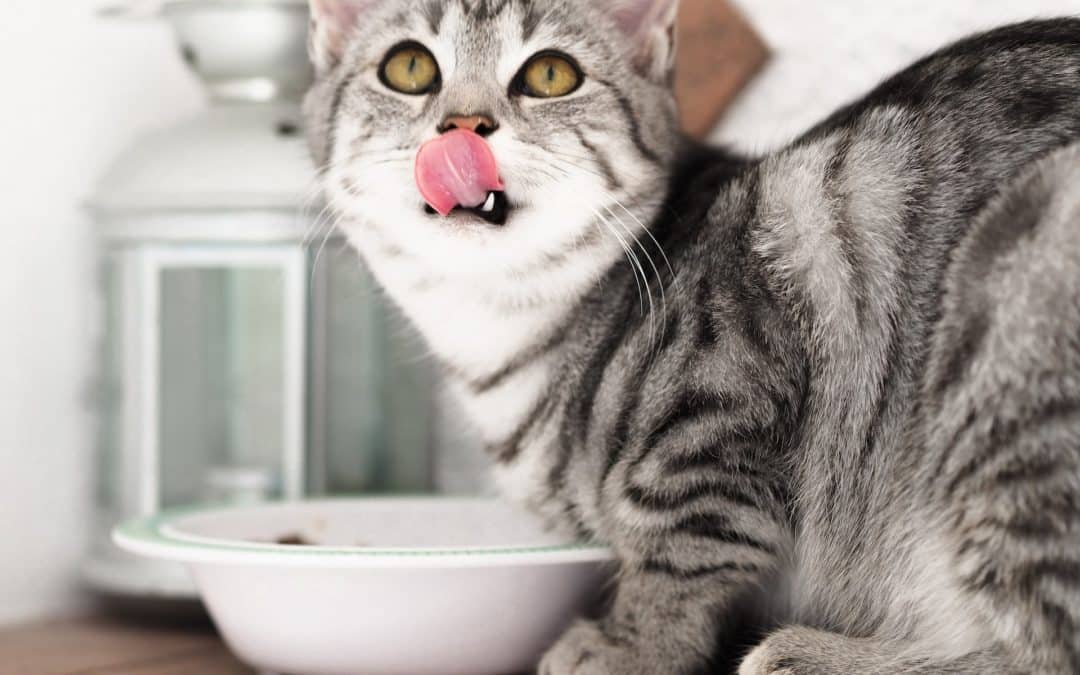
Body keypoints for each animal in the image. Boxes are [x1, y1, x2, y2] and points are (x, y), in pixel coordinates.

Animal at [302, 0, 1080, 669]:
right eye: (409, 67)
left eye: (550, 75)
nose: (464, 125)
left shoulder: (717, 406)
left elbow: (678, 544)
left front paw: (631, 645)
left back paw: (810, 656)